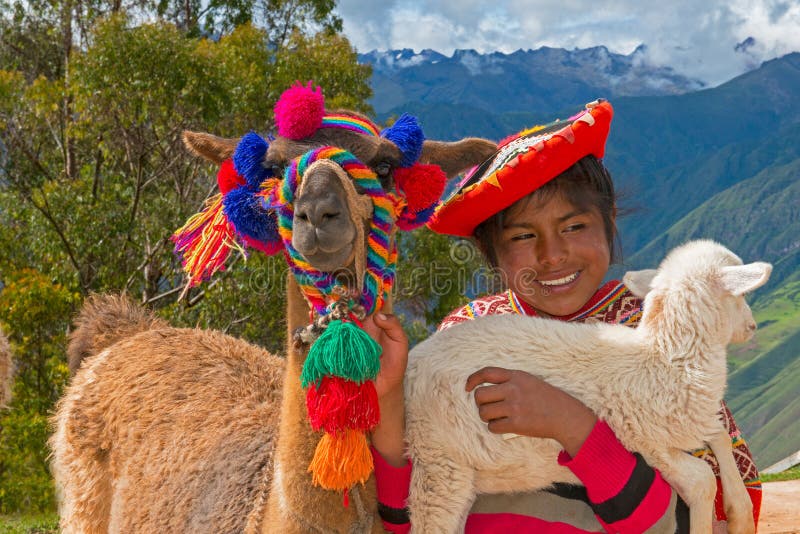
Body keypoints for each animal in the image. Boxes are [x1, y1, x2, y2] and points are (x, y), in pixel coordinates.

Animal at [406, 242, 768, 534]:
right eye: (741, 296)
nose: (753, 327)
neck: (664, 359)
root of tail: (411, 366)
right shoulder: (646, 443)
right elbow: (703, 480)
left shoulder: (687, 422)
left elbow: (720, 436)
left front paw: (740, 515)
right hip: (439, 465)